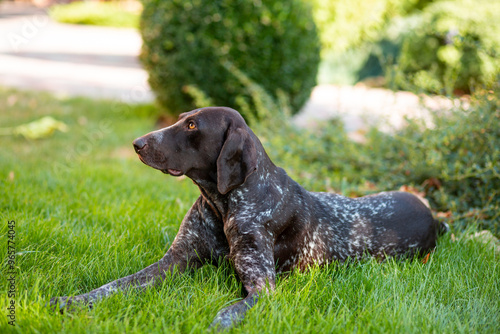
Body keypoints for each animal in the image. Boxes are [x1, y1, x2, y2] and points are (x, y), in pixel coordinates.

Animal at [49, 107, 446, 328]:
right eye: (180, 120)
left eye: (192, 126)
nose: (137, 143)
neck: (222, 203)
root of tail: (434, 216)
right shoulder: (174, 261)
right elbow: (117, 285)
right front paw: (75, 301)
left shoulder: (262, 288)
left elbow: (229, 311)